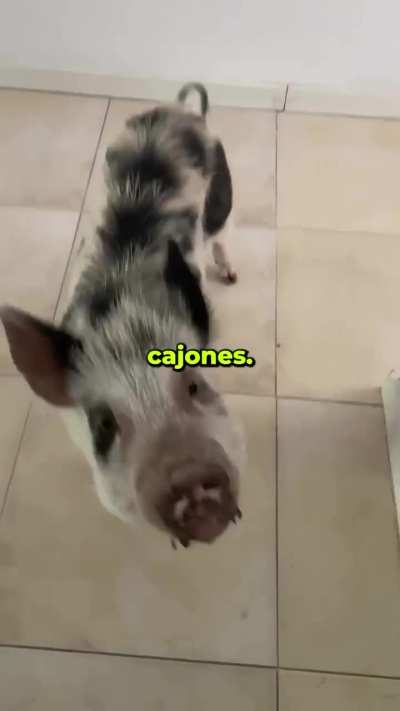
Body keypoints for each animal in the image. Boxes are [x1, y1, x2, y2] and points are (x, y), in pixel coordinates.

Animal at [0, 83, 245, 547]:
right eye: (104, 424)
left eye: (195, 385)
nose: (188, 475)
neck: (125, 321)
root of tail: (178, 110)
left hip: (223, 194)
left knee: (224, 233)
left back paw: (231, 275)